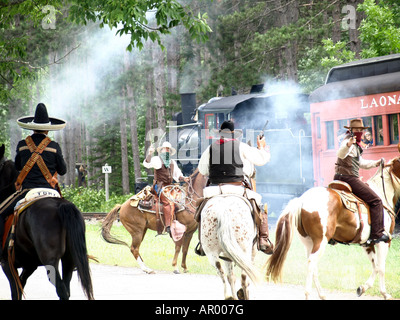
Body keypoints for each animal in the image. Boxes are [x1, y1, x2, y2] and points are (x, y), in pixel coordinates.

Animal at [0, 145, 93, 300]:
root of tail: (62, 205)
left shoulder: (7, 263)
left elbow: (16, 292)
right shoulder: (29, 265)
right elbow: (20, 287)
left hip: (51, 262)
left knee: (61, 289)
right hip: (69, 259)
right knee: (66, 289)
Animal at [266, 158, 400, 300]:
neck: (382, 194)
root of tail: (301, 200)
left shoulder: (367, 243)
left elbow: (375, 265)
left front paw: (362, 288)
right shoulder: (384, 241)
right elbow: (381, 267)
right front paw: (385, 293)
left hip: (309, 242)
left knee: (313, 265)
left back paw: (322, 294)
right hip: (320, 241)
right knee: (311, 263)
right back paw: (308, 294)